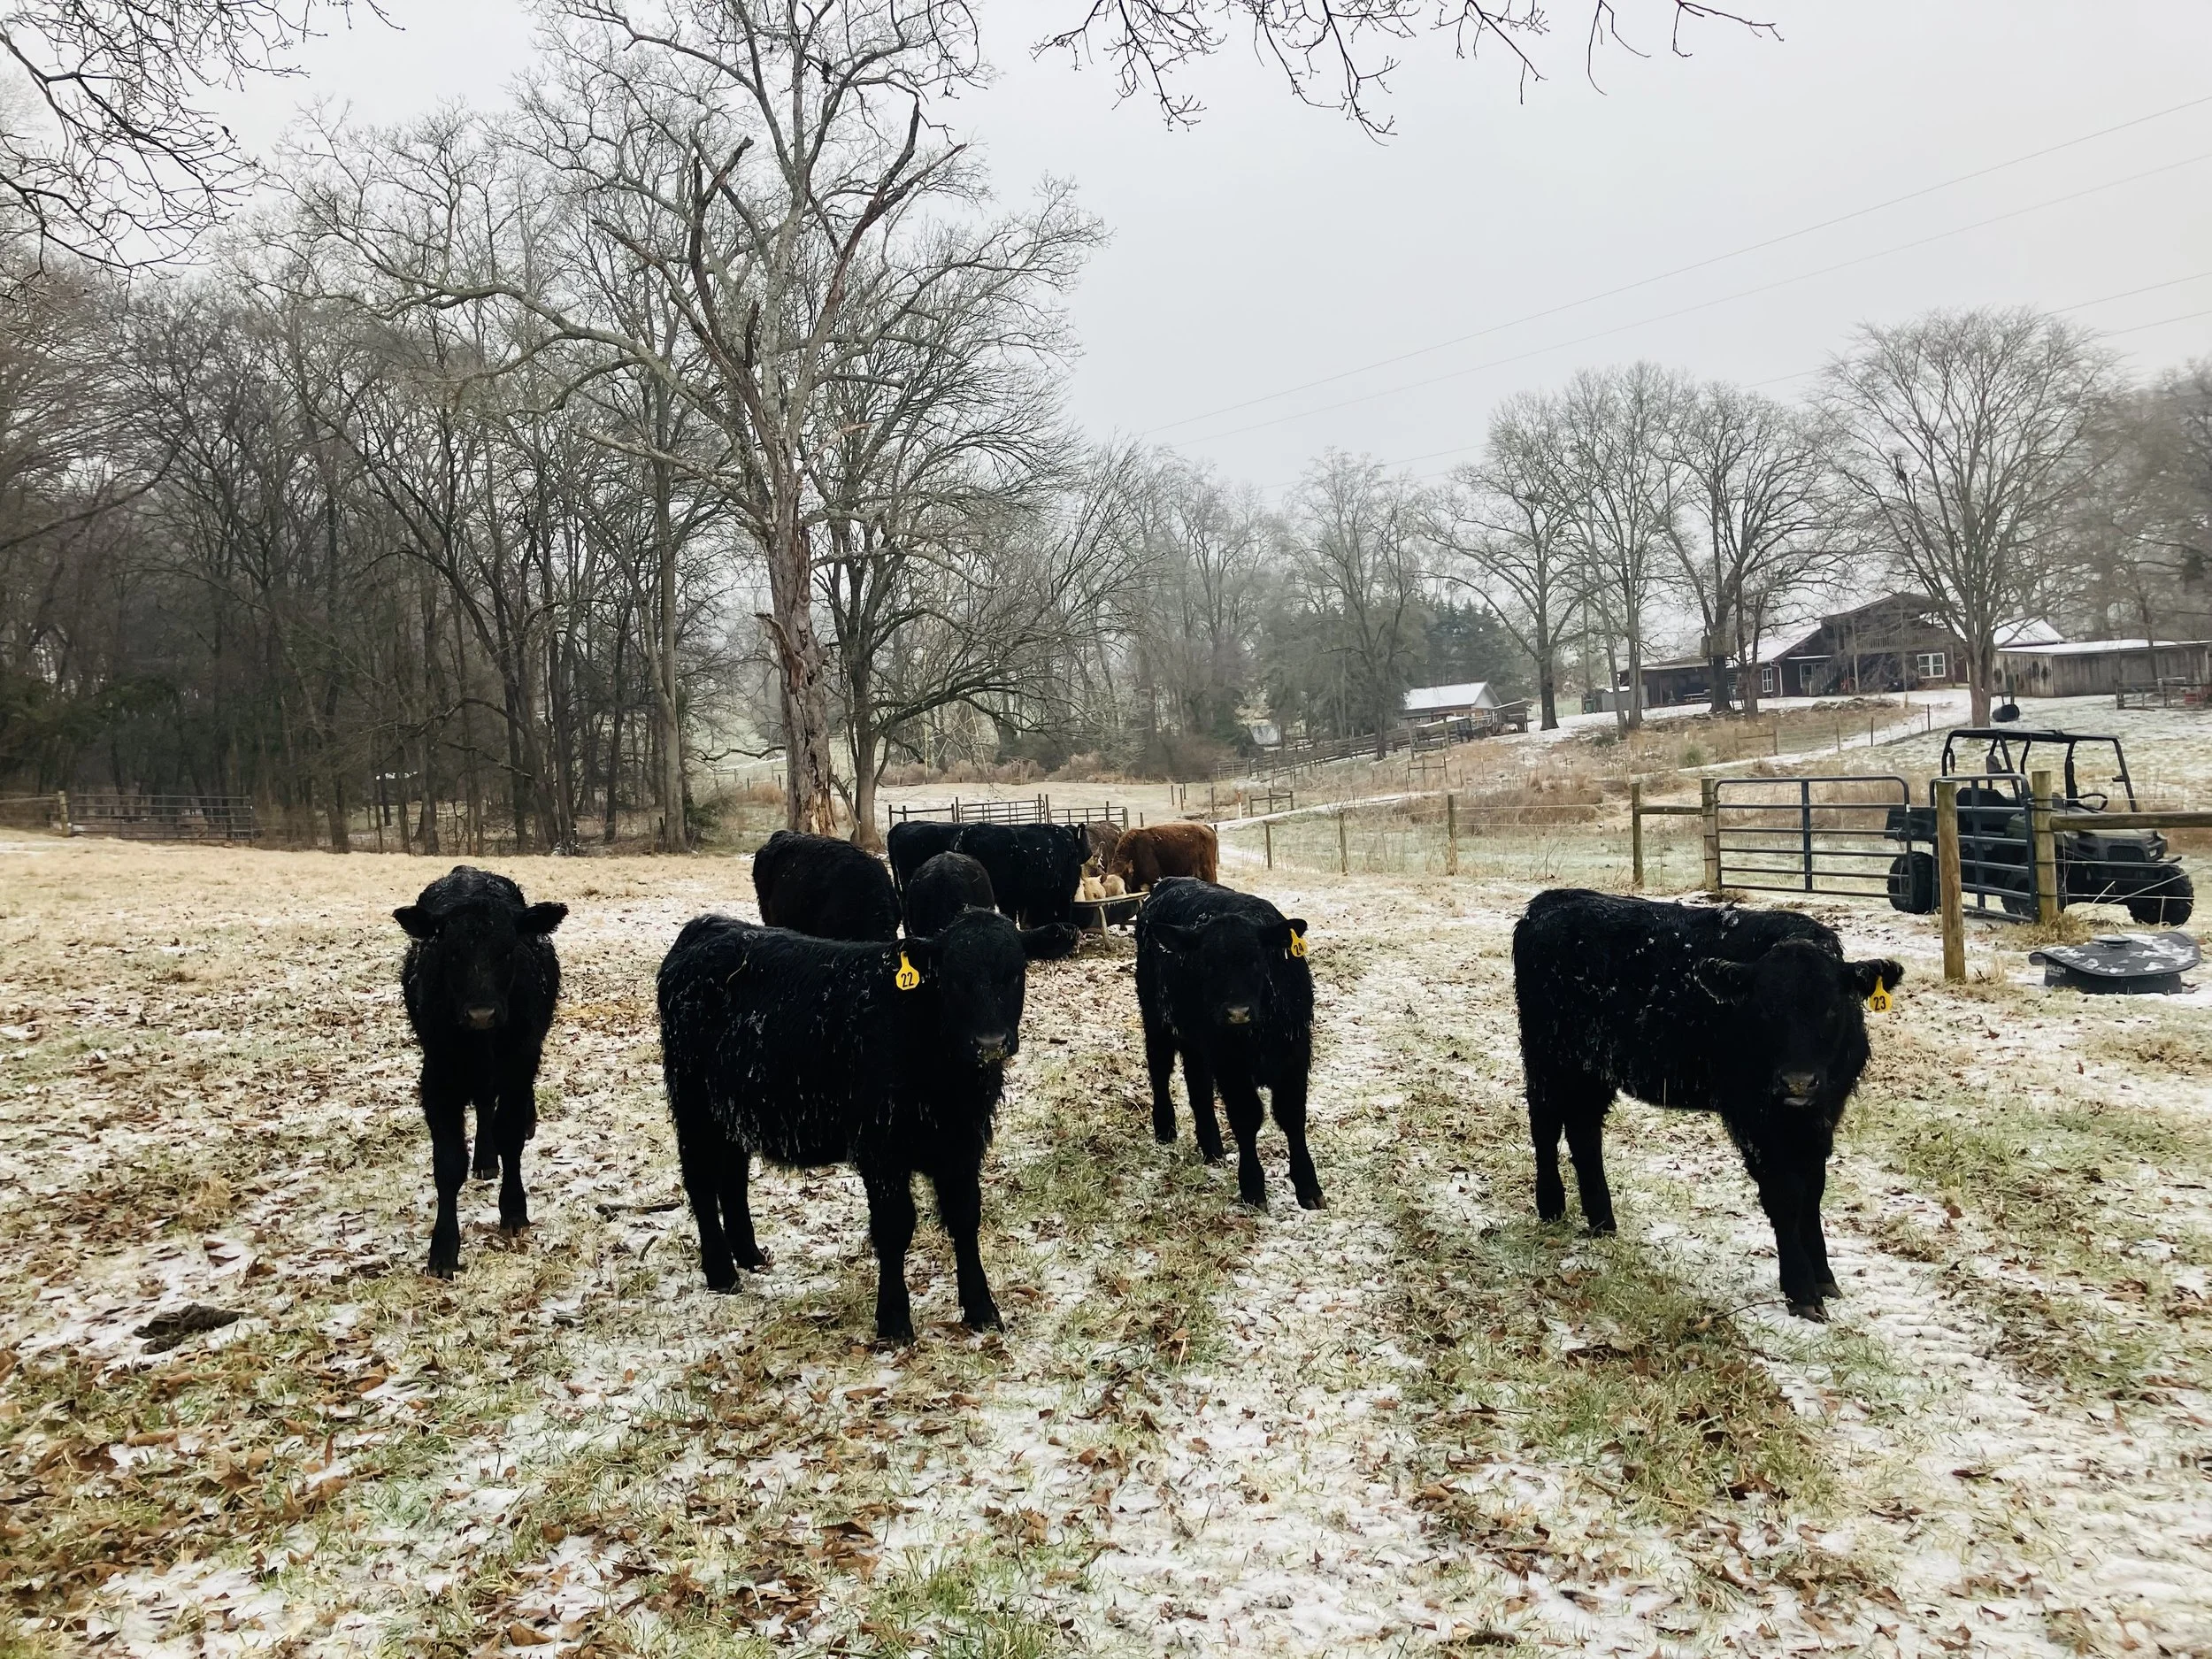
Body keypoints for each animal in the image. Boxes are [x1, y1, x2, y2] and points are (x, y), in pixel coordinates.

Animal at [394, 867, 567, 1278]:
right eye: (452, 952)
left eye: (507, 950)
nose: (481, 1014)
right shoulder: (437, 1077)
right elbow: (448, 1162)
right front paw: (443, 1249)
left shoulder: (520, 1062)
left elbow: (510, 1135)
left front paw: (514, 1209)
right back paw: (485, 1160)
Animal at [657, 909, 1077, 1340]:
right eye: (952, 978)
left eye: (1015, 973)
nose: (989, 1043)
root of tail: (708, 926)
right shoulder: (881, 1149)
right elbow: (894, 1227)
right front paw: (894, 1320)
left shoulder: (962, 1144)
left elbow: (965, 1217)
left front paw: (981, 1309)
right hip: (693, 1105)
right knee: (701, 1182)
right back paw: (721, 1271)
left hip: (733, 1110)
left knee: (732, 1178)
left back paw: (750, 1255)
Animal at [1135, 877, 1323, 1211]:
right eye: (1207, 964)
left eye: (1257, 960)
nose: (1236, 1013)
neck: (1258, 1033)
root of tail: (1169, 881)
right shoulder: (1230, 1065)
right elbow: (1246, 1117)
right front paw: (1252, 1188)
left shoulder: (1295, 1055)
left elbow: (1292, 1115)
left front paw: (1308, 1187)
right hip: (1157, 1020)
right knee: (1160, 1070)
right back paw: (1165, 1127)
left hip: (1195, 1041)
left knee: (1197, 1085)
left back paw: (1211, 1146)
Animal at [1511, 889, 1903, 1320]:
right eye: (1765, 1009)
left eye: (1832, 1007)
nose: (1797, 1081)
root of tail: (1553, 900)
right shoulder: (1754, 1115)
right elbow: (1785, 1195)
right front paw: (1800, 1289)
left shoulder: (1821, 1115)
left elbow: (1812, 1191)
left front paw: (1824, 1277)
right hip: (1547, 1055)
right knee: (1545, 1126)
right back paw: (1551, 1207)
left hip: (1592, 1066)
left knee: (1584, 1132)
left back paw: (1602, 1222)